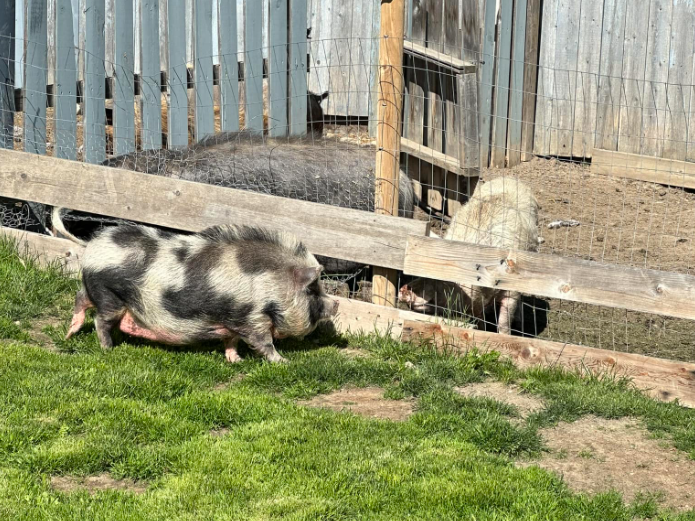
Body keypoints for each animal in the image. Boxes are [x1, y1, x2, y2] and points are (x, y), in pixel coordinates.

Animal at [51, 206, 340, 362]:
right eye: (313, 290)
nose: (336, 303)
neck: (271, 284)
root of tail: (92, 245)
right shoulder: (251, 317)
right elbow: (263, 342)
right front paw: (283, 362)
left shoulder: (231, 319)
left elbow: (232, 340)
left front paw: (235, 361)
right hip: (110, 295)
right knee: (101, 320)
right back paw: (107, 348)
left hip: (93, 287)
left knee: (79, 299)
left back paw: (69, 334)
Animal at [400, 177, 540, 336]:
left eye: (440, 279)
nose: (403, 289)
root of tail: (510, 178)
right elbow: (479, 318)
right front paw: (482, 330)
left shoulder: (511, 289)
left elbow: (504, 321)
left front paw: (506, 335)